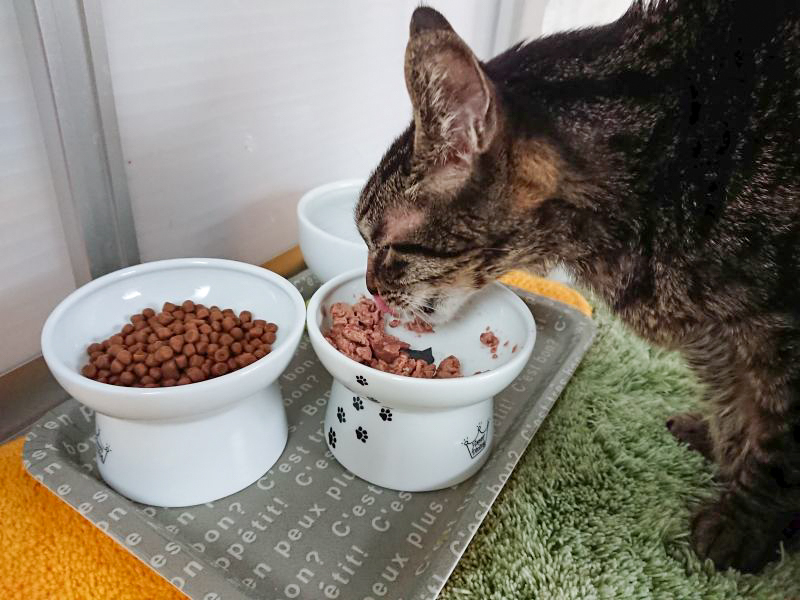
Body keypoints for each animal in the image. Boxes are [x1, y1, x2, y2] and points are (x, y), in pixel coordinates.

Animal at [355, 1, 800, 573]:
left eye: (386, 247)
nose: (369, 288)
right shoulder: (721, 334)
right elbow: (737, 407)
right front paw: (728, 453)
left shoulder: (773, 335)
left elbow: (774, 447)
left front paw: (742, 526)